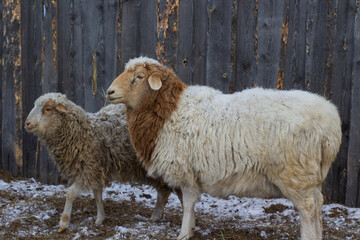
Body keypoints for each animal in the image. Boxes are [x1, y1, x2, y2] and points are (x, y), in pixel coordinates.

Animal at [23, 93, 179, 232]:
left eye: (48, 109)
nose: (27, 123)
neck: (84, 135)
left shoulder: (89, 172)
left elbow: (70, 194)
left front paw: (64, 222)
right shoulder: (96, 171)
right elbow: (97, 195)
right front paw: (100, 218)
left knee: (165, 190)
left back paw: (158, 216)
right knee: (164, 191)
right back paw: (157, 216)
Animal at [107, 56, 344, 240]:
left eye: (138, 77)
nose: (109, 92)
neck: (168, 111)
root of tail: (330, 123)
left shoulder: (186, 170)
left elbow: (188, 202)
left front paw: (184, 233)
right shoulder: (191, 172)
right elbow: (188, 204)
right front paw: (191, 228)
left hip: (295, 172)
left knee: (308, 208)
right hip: (311, 174)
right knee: (318, 202)